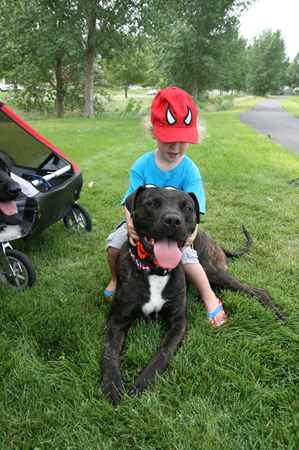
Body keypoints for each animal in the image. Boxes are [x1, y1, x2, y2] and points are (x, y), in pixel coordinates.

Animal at [102, 185, 288, 404]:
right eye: (151, 203)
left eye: (187, 207)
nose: (173, 220)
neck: (155, 271)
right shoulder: (117, 320)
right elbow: (110, 352)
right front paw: (112, 385)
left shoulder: (179, 322)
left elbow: (163, 352)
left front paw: (142, 382)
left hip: (210, 270)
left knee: (257, 291)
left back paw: (277, 313)